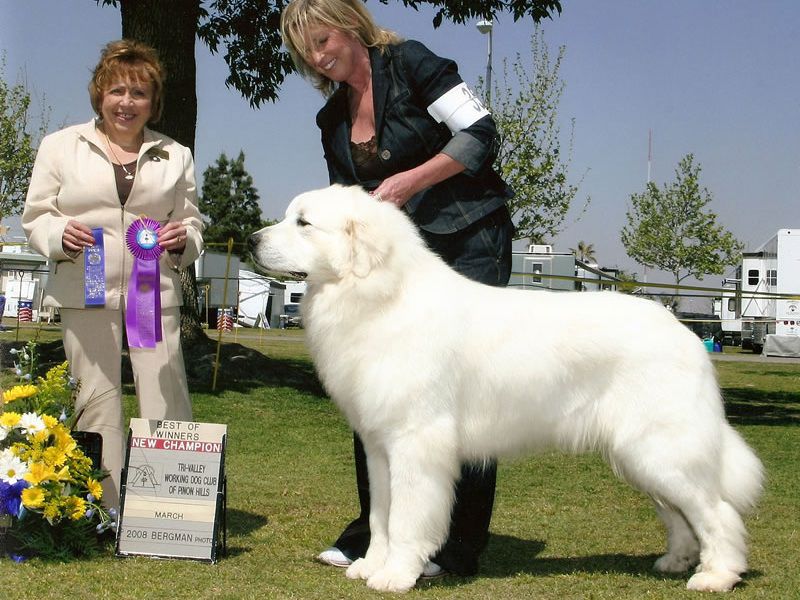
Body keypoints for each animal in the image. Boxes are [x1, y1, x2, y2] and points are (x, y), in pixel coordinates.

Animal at [248, 185, 764, 592]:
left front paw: (395, 576)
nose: (252, 240)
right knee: (680, 515)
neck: (379, 295)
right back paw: (676, 561)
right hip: (641, 457)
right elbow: (380, 516)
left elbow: (407, 517)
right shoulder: (378, 448)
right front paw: (370, 567)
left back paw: (717, 575)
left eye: (304, 222)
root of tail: (685, 333)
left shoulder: (416, 444)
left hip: (662, 449)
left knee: (717, 512)